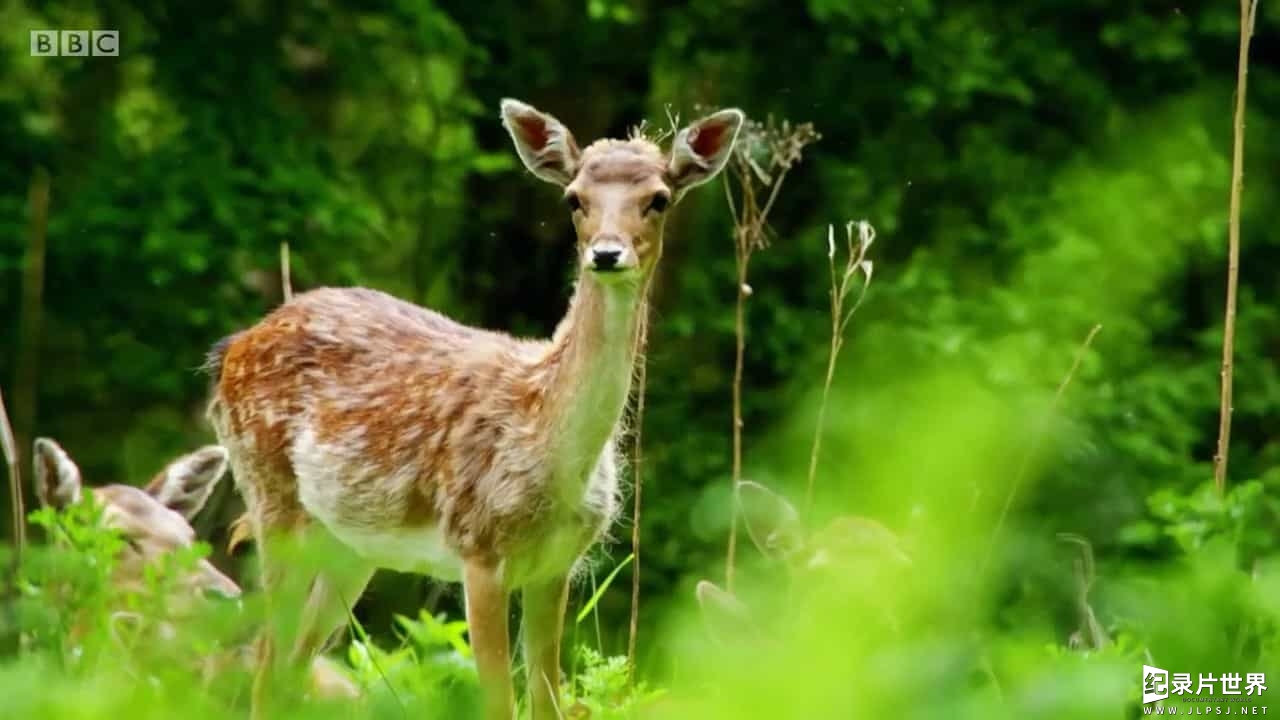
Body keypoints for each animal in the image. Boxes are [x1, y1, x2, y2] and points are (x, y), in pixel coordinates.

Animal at [203, 96, 747, 717]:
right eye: (574, 198)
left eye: (658, 198)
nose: (607, 253)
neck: (548, 439)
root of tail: (232, 350)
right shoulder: (478, 546)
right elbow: (499, 702)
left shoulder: (558, 563)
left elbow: (547, 699)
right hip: (271, 496)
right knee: (266, 664)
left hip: (349, 544)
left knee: (290, 668)